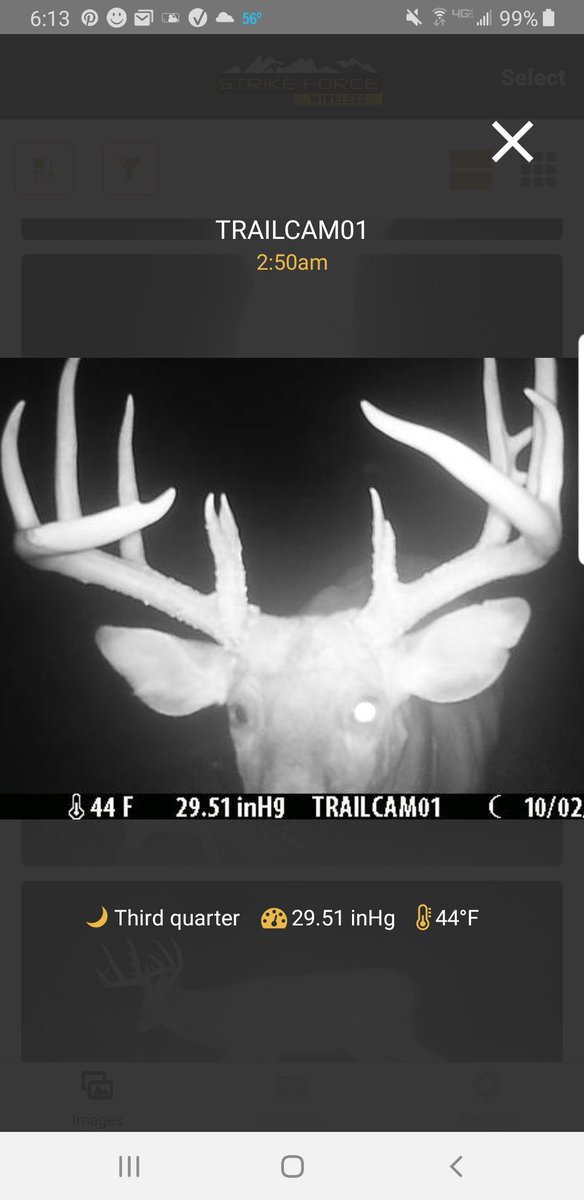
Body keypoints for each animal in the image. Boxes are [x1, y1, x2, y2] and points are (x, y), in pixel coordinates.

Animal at [97, 938, 440, 1061]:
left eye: (147, 1001)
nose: (137, 1024)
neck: (211, 1024)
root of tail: (410, 986)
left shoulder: (242, 1048)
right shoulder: (271, 1050)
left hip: (366, 1038)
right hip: (397, 1034)